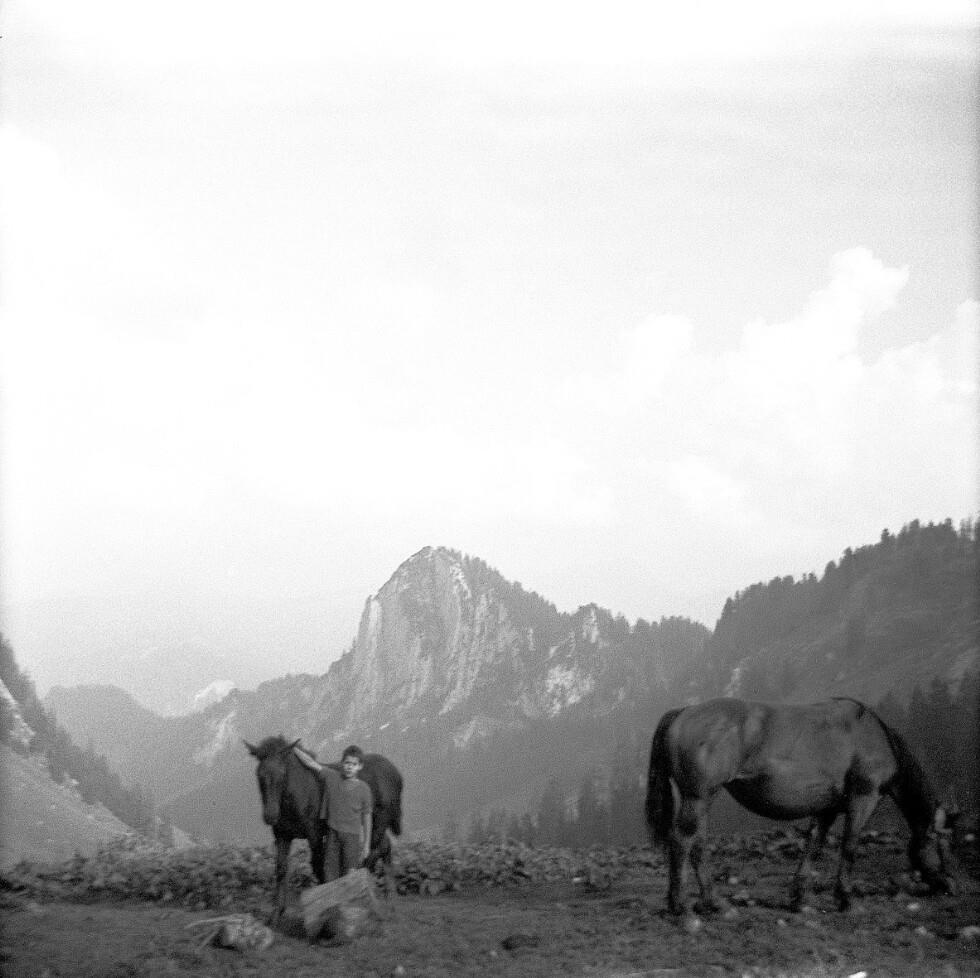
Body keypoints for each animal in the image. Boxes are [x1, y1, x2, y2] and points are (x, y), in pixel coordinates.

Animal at [245, 735, 404, 922]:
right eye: (259, 774)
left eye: (283, 774)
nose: (270, 815)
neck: (294, 798)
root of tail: (396, 773)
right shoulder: (282, 835)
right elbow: (281, 869)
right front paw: (276, 914)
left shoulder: (314, 833)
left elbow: (318, 865)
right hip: (376, 825)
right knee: (384, 847)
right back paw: (390, 900)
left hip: (379, 821)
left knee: (374, 852)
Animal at [645, 697, 957, 916]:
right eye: (943, 844)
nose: (951, 886)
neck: (873, 736)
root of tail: (684, 711)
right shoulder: (863, 799)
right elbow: (850, 847)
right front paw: (846, 899)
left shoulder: (827, 809)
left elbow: (813, 846)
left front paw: (799, 898)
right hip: (698, 797)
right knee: (682, 841)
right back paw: (680, 905)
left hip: (701, 800)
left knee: (697, 845)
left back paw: (713, 902)